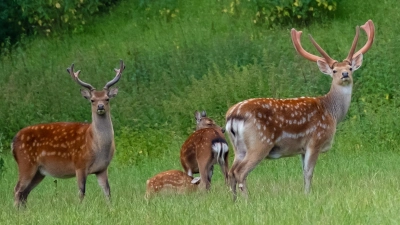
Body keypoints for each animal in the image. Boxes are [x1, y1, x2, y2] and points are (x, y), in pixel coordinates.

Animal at [11, 60, 125, 207]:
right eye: (92, 100)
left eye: (107, 99)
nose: (100, 107)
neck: (96, 145)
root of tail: (13, 142)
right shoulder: (80, 164)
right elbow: (81, 192)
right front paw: (80, 208)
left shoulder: (102, 168)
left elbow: (108, 192)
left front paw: (110, 208)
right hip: (26, 163)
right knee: (17, 189)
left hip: (39, 171)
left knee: (24, 193)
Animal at [225, 19, 376, 200]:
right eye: (334, 70)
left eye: (350, 68)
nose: (345, 74)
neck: (332, 112)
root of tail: (233, 115)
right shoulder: (315, 140)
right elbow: (309, 173)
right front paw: (308, 195)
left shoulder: (302, 149)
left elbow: (304, 173)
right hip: (259, 142)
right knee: (240, 172)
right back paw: (247, 200)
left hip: (238, 147)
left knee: (231, 172)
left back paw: (234, 201)